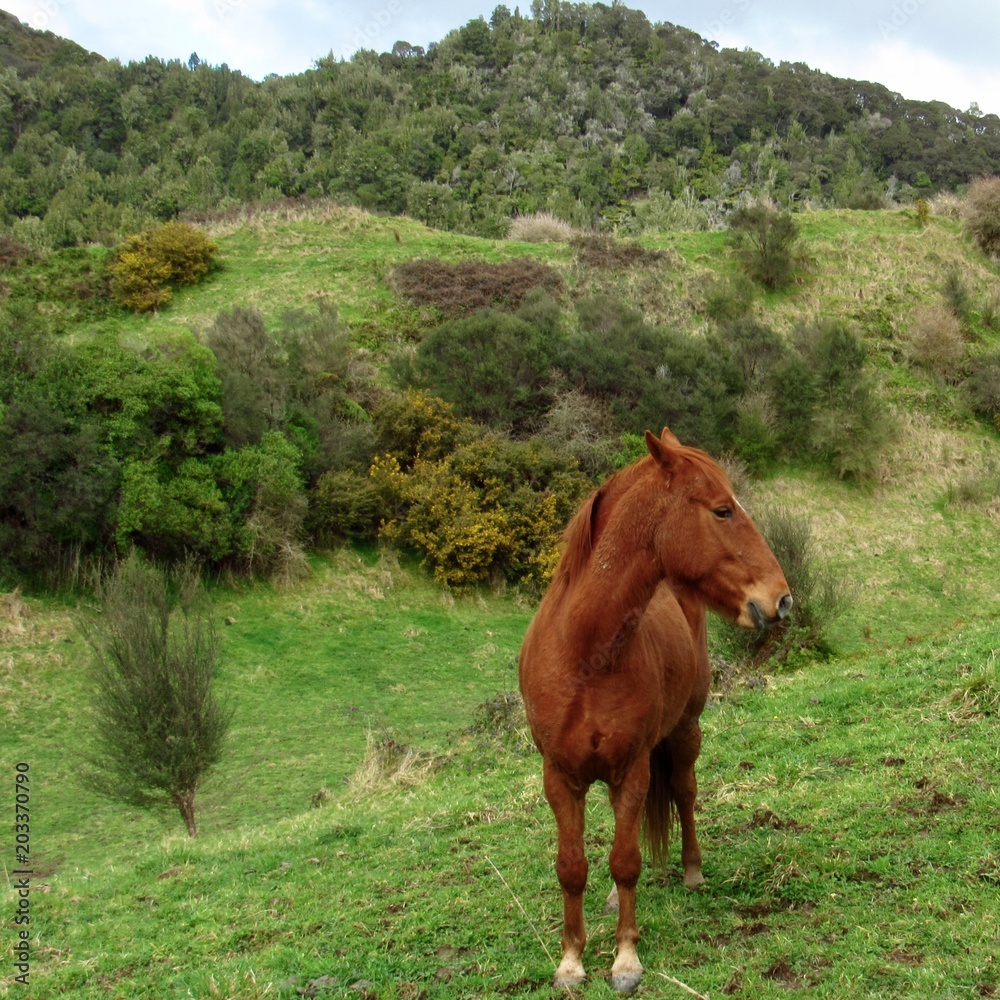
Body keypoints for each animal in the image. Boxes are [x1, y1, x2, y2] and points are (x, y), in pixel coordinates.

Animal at [518, 428, 792, 993]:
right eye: (722, 510)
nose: (781, 600)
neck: (584, 650)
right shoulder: (559, 775)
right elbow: (571, 866)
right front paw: (571, 961)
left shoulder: (633, 769)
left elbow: (626, 860)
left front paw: (625, 959)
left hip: (686, 730)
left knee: (685, 793)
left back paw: (691, 870)